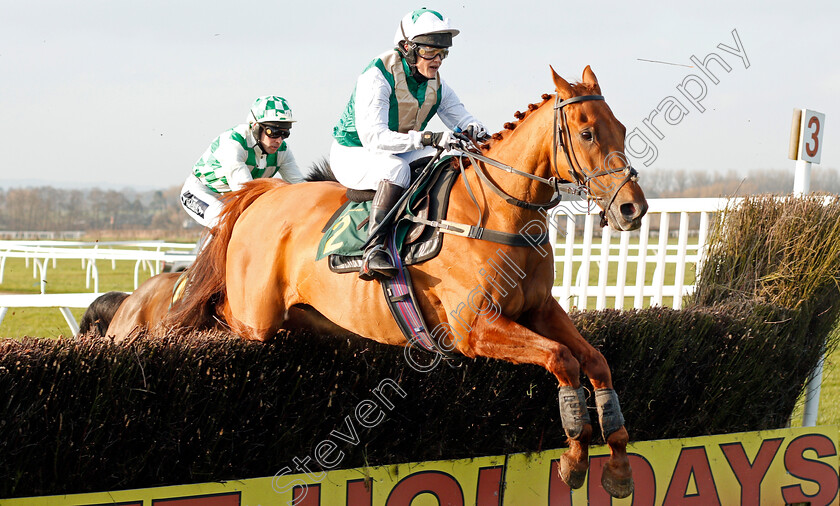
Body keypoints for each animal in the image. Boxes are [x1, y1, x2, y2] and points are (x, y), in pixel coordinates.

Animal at [108, 65, 648, 496]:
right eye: (586, 133)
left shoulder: (539, 310)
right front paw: (575, 457)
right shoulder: (474, 328)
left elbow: (595, 361)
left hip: (300, 320)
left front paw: (620, 462)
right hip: (251, 318)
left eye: (620, 127)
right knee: (211, 312)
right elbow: (562, 360)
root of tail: (262, 194)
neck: (497, 211)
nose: (631, 208)